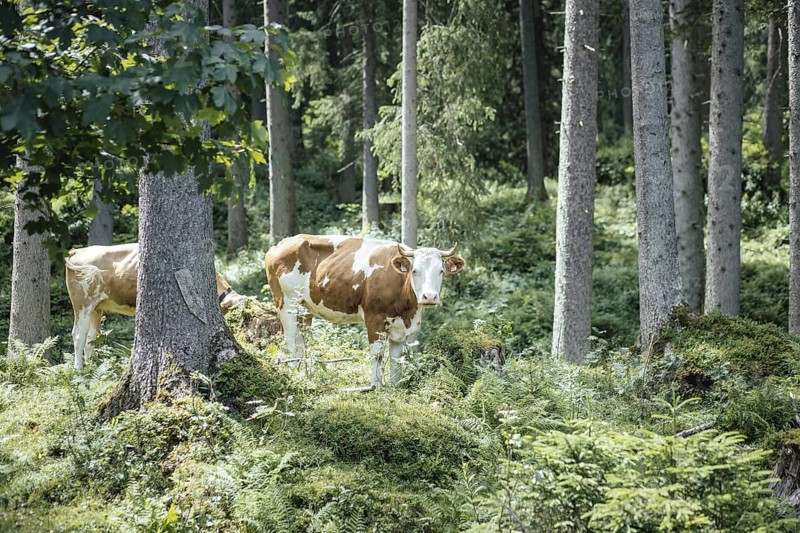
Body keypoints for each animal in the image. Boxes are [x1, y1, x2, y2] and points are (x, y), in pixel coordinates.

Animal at [65, 243, 246, 370]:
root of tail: (78, 251)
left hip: (96, 308)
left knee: (90, 339)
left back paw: (94, 368)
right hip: (83, 304)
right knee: (78, 336)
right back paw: (79, 370)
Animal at [264, 235, 466, 386]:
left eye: (441, 271)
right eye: (414, 270)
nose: (429, 296)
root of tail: (281, 243)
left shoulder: (400, 327)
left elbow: (396, 359)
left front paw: (394, 387)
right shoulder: (374, 318)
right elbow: (377, 354)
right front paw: (374, 386)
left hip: (304, 308)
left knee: (300, 340)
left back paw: (303, 374)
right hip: (286, 303)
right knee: (291, 340)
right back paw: (294, 374)